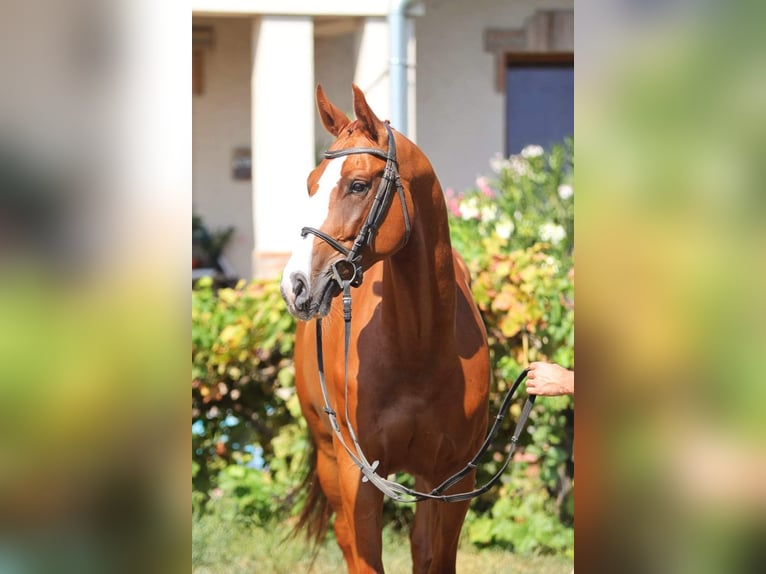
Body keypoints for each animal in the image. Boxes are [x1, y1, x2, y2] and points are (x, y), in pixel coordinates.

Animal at [279, 84, 490, 574]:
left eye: (358, 184)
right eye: (310, 184)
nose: (294, 285)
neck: (419, 349)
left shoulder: (453, 480)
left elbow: (435, 556)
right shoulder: (359, 478)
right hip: (328, 456)